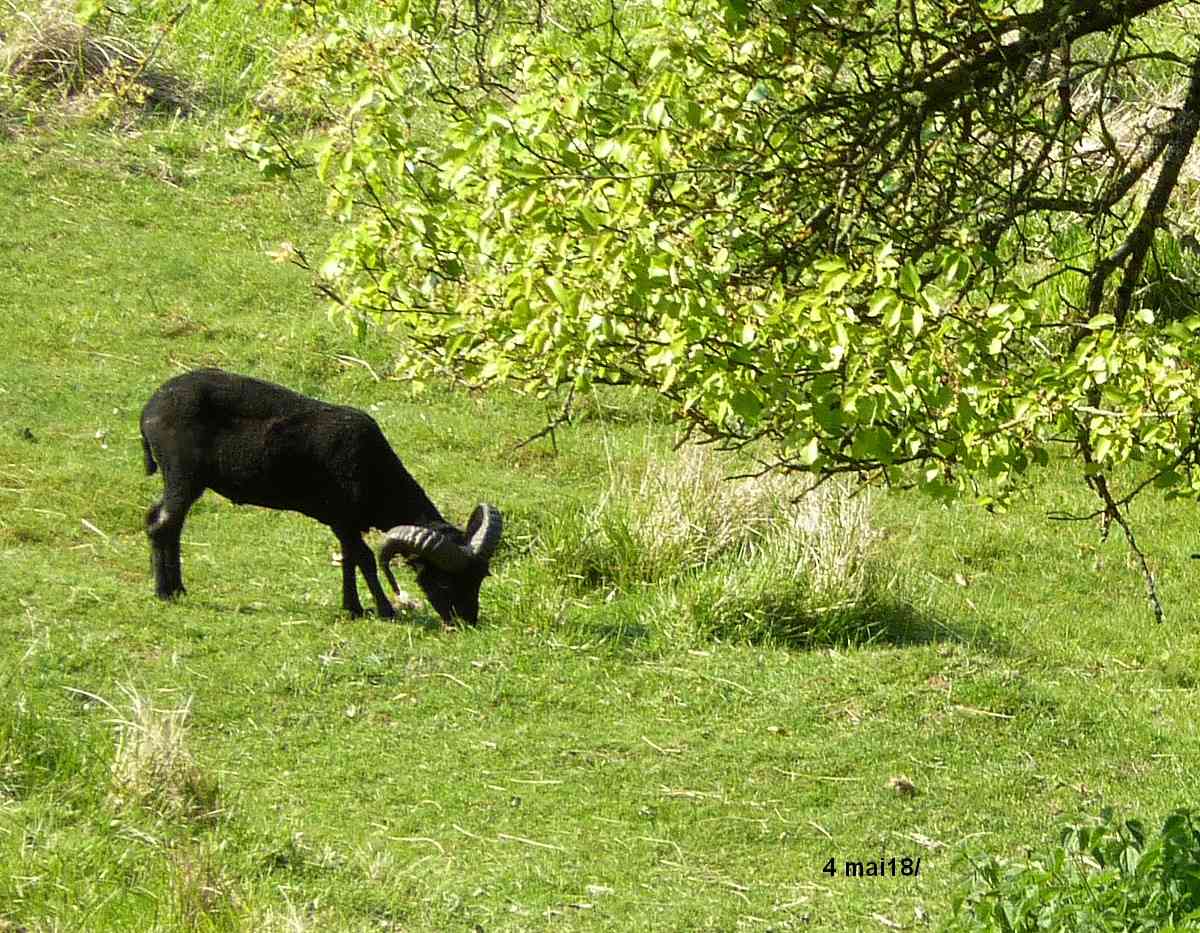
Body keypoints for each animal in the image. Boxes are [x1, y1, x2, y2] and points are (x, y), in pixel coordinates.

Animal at [140, 366, 501, 623]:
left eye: (480, 577)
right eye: (443, 581)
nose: (466, 621)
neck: (375, 471)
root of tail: (148, 410)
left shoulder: (342, 522)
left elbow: (348, 558)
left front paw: (353, 608)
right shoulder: (342, 517)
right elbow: (363, 558)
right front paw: (385, 610)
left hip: (185, 480)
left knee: (163, 521)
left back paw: (177, 588)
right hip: (182, 474)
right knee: (163, 523)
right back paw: (164, 592)